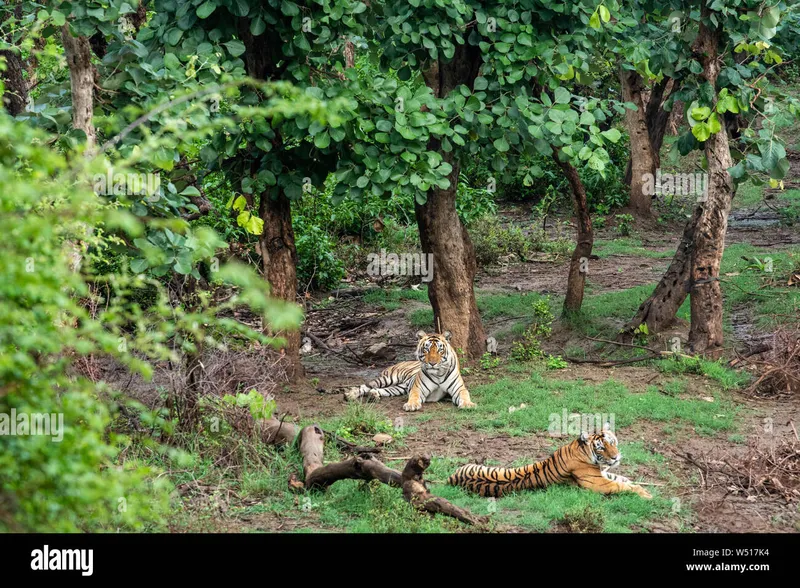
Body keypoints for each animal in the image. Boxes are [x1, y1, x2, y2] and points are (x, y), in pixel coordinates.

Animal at [344, 330, 476, 408]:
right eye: (426, 349)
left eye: (440, 350)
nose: (432, 363)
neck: (438, 374)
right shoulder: (418, 388)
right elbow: (414, 396)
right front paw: (411, 405)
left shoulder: (459, 389)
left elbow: (465, 395)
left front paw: (468, 404)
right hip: (387, 378)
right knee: (364, 386)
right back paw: (350, 395)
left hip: (399, 388)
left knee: (380, 390)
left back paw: (373, 395)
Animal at [446, 424, 652, 498]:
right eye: (601, 447)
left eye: (612, 442)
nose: (616, 457)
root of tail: (451, 479)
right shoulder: (598, 483)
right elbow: (623, 486)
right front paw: (646, 494)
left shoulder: (603, 474)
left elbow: (624, 480)